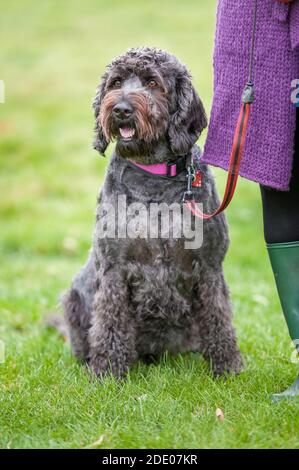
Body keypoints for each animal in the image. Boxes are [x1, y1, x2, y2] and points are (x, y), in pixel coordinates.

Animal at [61, 47, 244, 378]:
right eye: (116, 82)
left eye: (152, 83)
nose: (120, 109)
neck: (154, 175)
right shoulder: (114, 268)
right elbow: (110, 320)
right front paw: (107, 371)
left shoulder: (209, 265)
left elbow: (218, 316)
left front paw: (226, 366)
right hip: (75, 296)